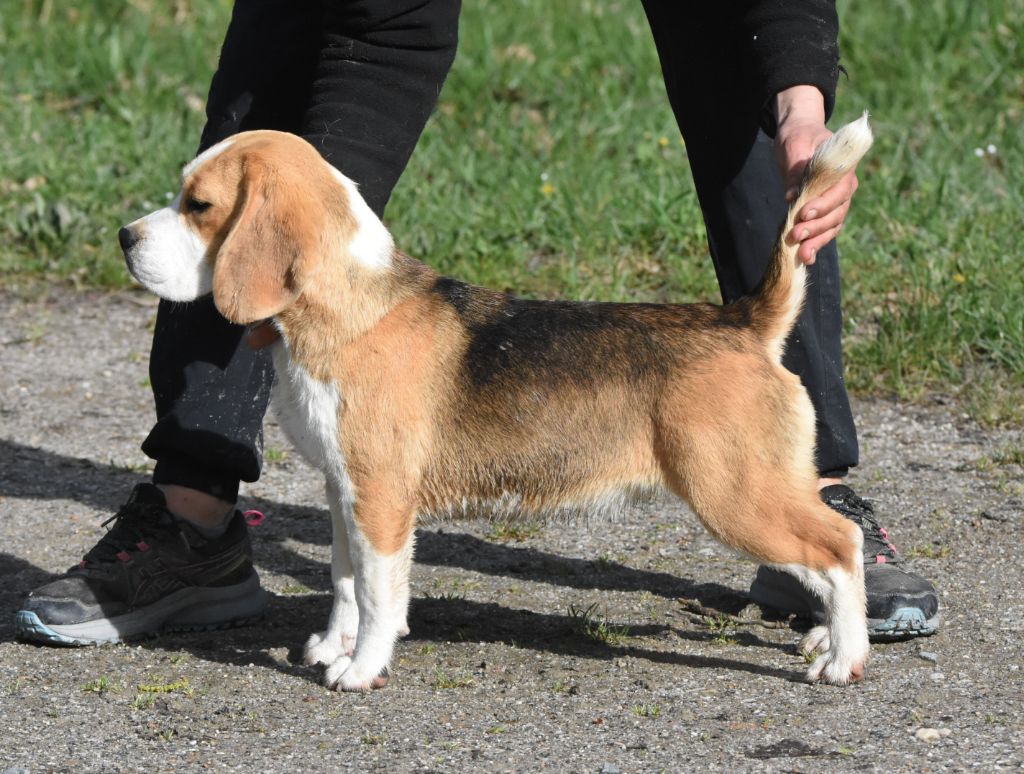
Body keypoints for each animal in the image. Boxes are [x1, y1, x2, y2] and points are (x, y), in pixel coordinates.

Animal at [117, 114, 872, 688]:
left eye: (199, 206)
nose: (124, 237)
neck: (350, 306)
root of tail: (744, 321)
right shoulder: (344, 493)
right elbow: (344, 583)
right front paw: (335, 645)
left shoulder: (382, 500)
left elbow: (378, 594)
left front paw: (360, 669)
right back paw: (826, 638)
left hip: (733, 494)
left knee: (843, 544)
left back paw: (844, 656)